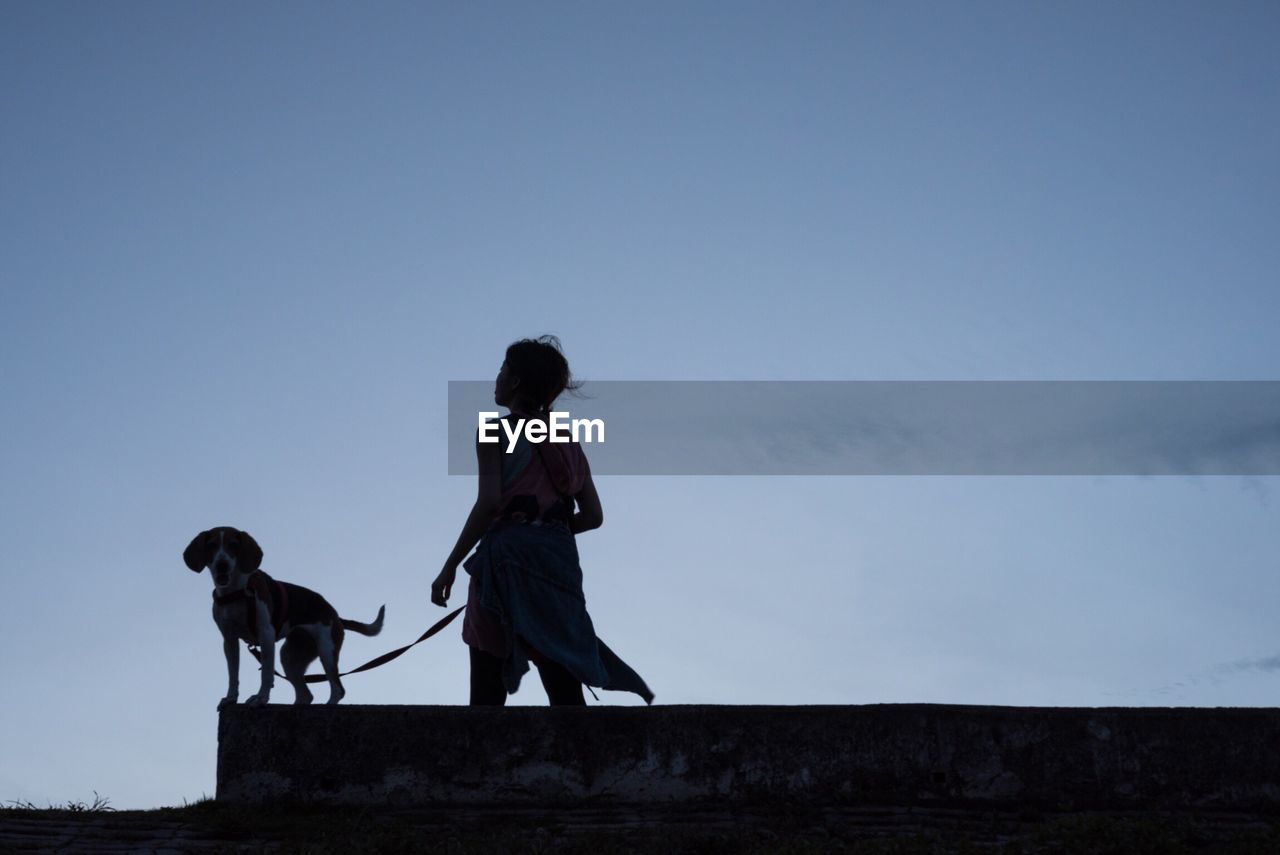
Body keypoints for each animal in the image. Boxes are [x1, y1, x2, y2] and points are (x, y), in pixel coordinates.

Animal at [184, 527, 384, 706]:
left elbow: (266, 672)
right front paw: (231, 698)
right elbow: (233, 675)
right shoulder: (229, 640)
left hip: (327, 651)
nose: (222, 564)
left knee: (338, 689)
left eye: (233, 545)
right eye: (211, 545)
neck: (236, 592)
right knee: (306, 695)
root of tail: (336, 615)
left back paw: (328, 705)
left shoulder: (266, 634)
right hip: (289, 656)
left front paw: (261, 698)